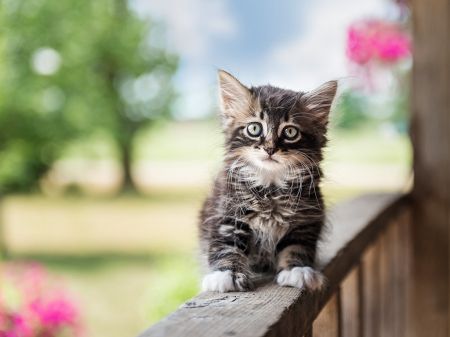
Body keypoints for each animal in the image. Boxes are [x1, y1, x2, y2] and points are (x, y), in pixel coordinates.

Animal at [199, 69, 336, 290]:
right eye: (254, 129)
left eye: (290, 132)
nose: (270, 149)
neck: (270, 187)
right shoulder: (225, 214)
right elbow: (227, 245)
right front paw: (227, 274)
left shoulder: (306, 220)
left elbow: (297, 246)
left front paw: (296, 270)